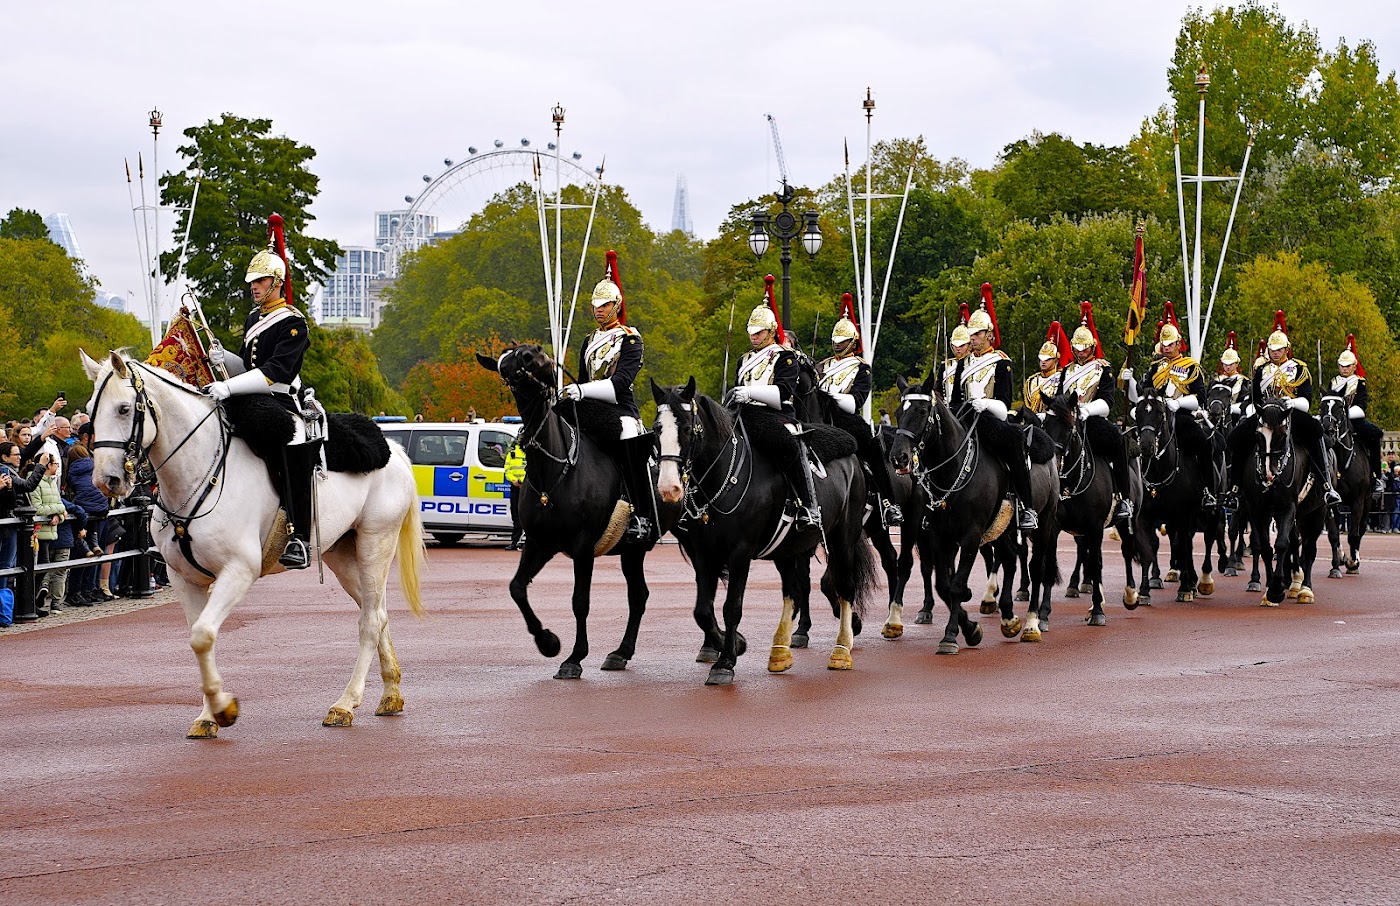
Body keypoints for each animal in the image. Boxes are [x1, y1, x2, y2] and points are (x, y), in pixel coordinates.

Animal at [84, 351, 422, 739]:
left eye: (124, 409)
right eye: (91, 410)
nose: (106, 480)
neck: (199, 473)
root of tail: (393, 447)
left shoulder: (239, 571)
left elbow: (202, 635)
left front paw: (223, 709)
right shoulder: (186, 580)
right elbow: (199, 639)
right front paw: (207, 716)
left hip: (375, 543)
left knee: (369, 621)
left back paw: (345, 703)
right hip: (342, 555)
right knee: (377, 613)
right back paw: (391, 694)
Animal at [1316, 397, 1372, 582]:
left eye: (1340, 408)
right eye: (1322, 406)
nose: (1328, 429)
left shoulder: (1358, 501)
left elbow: (1354, 533)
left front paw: (1353, 562)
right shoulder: (1329, 501)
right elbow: (1334, 533)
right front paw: (1341, 559)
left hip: (1368, 501)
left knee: (1361, 528)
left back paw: (1354, 560)